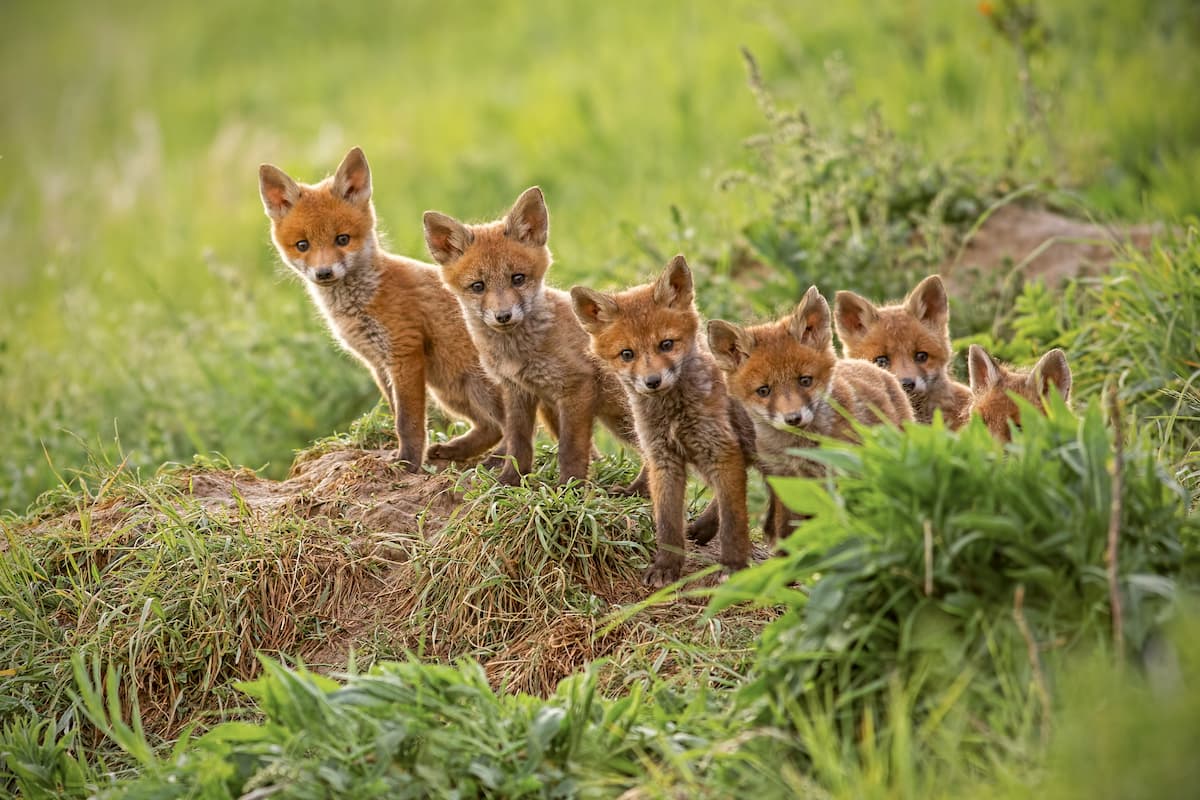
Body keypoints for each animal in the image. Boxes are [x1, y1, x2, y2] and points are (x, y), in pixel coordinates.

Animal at [258, 147, 506, 472]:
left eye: (342, 239)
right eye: (302, 245)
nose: (324, 273)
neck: (361, 304)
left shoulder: (404, 352)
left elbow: (408, 421)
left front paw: (408, 464)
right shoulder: (378, 363)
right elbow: (396, 411)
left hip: (474, 385)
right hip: (452, 389)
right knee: (492, 428)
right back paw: (456, 452)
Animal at [422, 187, 647, 492]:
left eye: (518, 279)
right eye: (478, 286)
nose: (503, 316)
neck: (519, 353)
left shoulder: (577, 387)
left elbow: (570, 449)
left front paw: (570, 488)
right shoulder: (517, 390)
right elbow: (518, 445)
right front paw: (509, 482)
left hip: (623, 416)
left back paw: (638, 491)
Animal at [572, 255, 756, 587]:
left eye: (667, 344)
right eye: (627, 354)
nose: (652, 381)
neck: (673, 415)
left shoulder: (722, 451)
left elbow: (734, 521)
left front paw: (735, 566)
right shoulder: (663, 459)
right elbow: (667, 523)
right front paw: (666, 566)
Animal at [709, 285, 913, 543]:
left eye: (805, 380)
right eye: (764, 391)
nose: (793, 418)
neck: (799, 450)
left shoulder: (838, 474)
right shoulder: (784, 479)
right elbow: (787, 530)